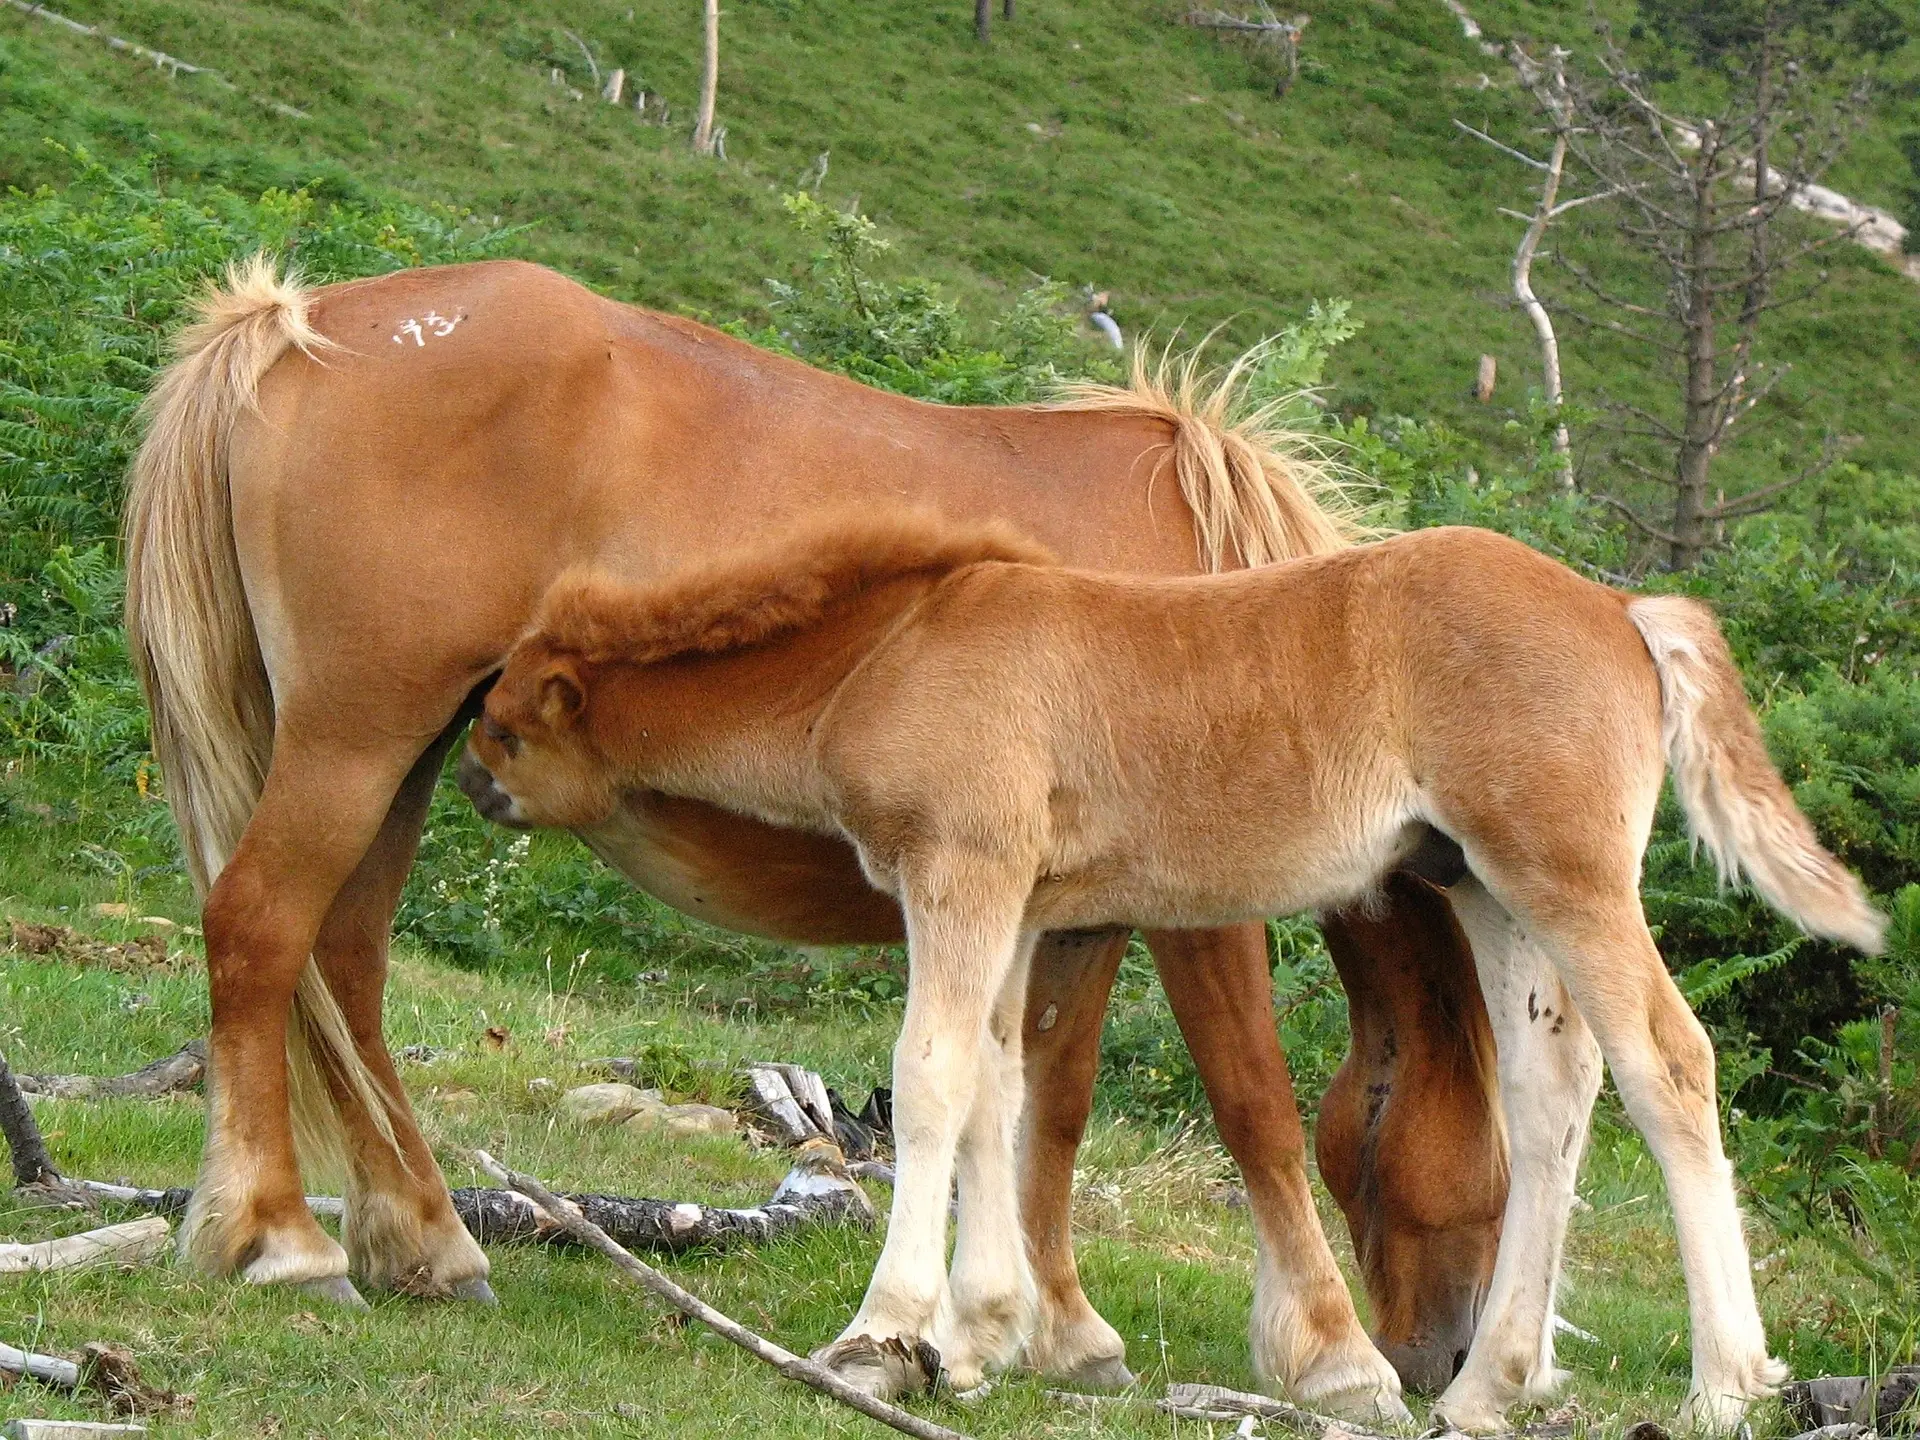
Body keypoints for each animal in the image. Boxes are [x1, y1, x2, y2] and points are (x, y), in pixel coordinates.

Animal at [127, 257, 1497, 1420]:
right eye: (1488, 1171)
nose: (1444, 1359)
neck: (1252, 624)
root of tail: (292, 327)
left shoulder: (1068, 905)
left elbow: (1047, 1103)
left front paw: (1052, 1328)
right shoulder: (1190, 907)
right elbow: (1249, 1097)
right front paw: (1333, 1355)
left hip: (400, 756)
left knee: (346, 965)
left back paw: (424, 1240)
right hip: (355, 739)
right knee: (260, 928)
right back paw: (278, 1240)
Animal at [472, 514, 1881, 1428]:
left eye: (507, 725)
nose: (474, 785)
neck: (896, 646)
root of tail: (1623, 611)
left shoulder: (962, 871)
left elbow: (931, 1079)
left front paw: (884, 1339)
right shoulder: (1021, 904)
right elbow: (1000, 1092)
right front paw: (982, 1340)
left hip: (1567, 874)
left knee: (1668, 1064)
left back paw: (1723, 1384)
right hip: (1485, 885)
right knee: (1552, 1099)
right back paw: (1490, 1387)